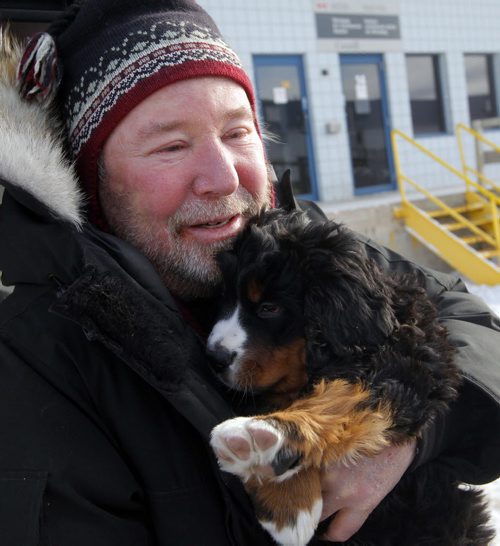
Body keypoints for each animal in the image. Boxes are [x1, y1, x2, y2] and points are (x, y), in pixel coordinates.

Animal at [207, 207, 492, 544]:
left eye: (269, 308)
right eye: (222, 300)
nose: (213, 357)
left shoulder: (411, 363)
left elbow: (343, 395)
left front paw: (263, 438)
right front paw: (288, 502)